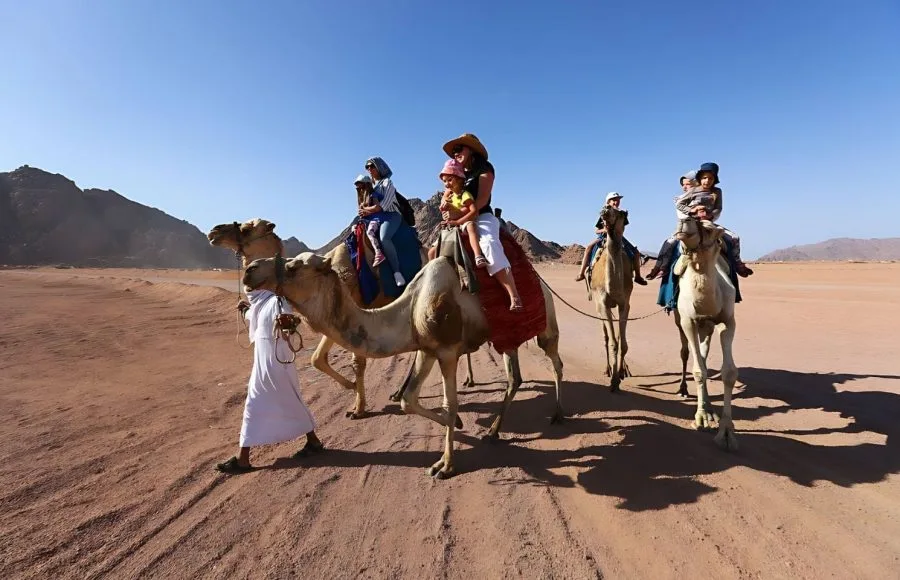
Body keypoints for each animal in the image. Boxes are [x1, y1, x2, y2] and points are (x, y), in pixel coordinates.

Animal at [208, 218, 450, 419]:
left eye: (246, 229)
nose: (214, 231)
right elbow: (317, 359)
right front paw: (352, 389)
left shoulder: (347, 309)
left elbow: (351, 361)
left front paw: (358, 406)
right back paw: (399, 392)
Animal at [242, 253, 564, 479]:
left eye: (295, 267)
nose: (249, 269)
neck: (409, 306)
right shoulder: (426, 349)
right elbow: (408, 400)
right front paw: (459, 426)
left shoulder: (447, 351)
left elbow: (450, 404)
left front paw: (445, 465)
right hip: (506, 337)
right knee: (515, 377)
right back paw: (494, 432)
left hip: (546, 320)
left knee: (555, 361)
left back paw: (558, 415)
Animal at [673, 218, 739, 451]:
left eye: (710, 228)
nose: (683, 222)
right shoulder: (688, 321)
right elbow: (699, 370)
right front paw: (700, 418)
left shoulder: (728, 321)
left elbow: (729, 372)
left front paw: (726, 432)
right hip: (679, 320)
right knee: (687, 354)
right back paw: (687, 392)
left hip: (708, 328)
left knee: (703, 354)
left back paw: (710, 407)